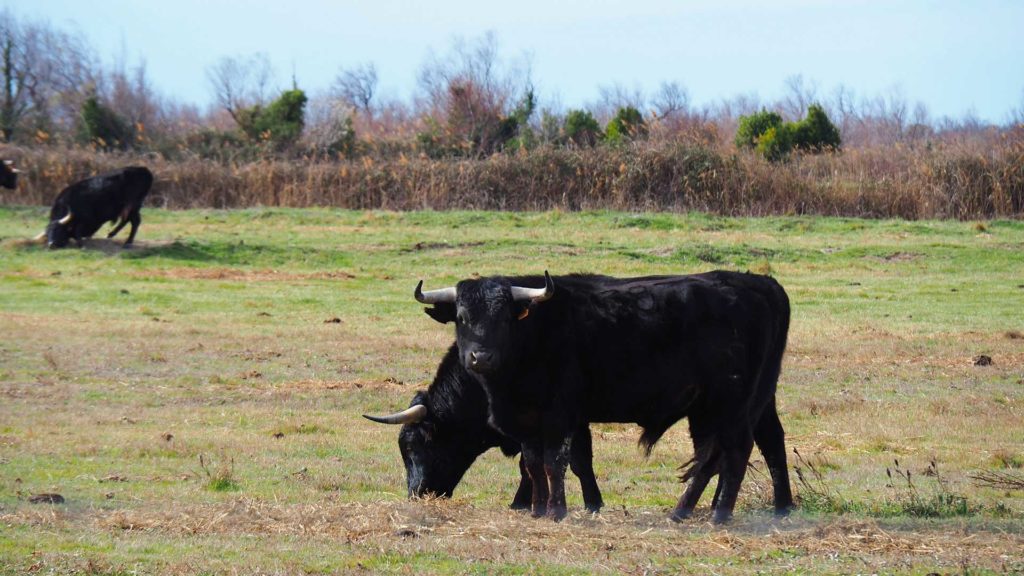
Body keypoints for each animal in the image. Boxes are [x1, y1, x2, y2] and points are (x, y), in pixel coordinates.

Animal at [411, 268, 794, 520]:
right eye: (461, 317)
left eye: (504, 318)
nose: (480, 357)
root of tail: (760, 284)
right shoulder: (532, 420)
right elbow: (537, 464)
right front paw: (539, 508)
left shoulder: (560, 415)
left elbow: (556, 462)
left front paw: (558, 510)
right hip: (730, 407)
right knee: (746, 447)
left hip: (729, 406)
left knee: (734, 451)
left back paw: (718, 514)